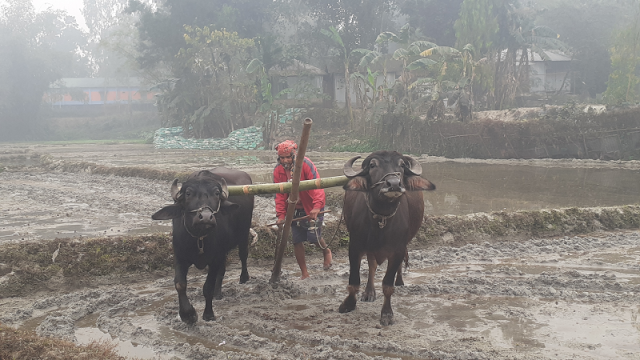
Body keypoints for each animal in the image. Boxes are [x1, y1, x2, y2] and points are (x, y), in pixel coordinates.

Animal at [151, 169, 254, 324]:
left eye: (216, 193)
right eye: (188, 193)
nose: (206, 217)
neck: (199, 238)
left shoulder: (214, 259)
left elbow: (207, 287)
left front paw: (208, 314)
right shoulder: (179, 257)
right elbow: (180, 284)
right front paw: (188, 314)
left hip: (243, 234)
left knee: (243, 255)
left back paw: (243, 277)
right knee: (222, 270)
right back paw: (218, 293)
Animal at [340, 150, 436, 324]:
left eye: (402, 165)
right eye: (372, 165)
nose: (394, 184)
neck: (381, 218)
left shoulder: (397, 250)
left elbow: (387, 285)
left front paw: (386, 314)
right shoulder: (355, 246)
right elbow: (354, 280)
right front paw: (348, 304)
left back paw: (399, 281)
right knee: (372, 266)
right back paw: (369, 292)